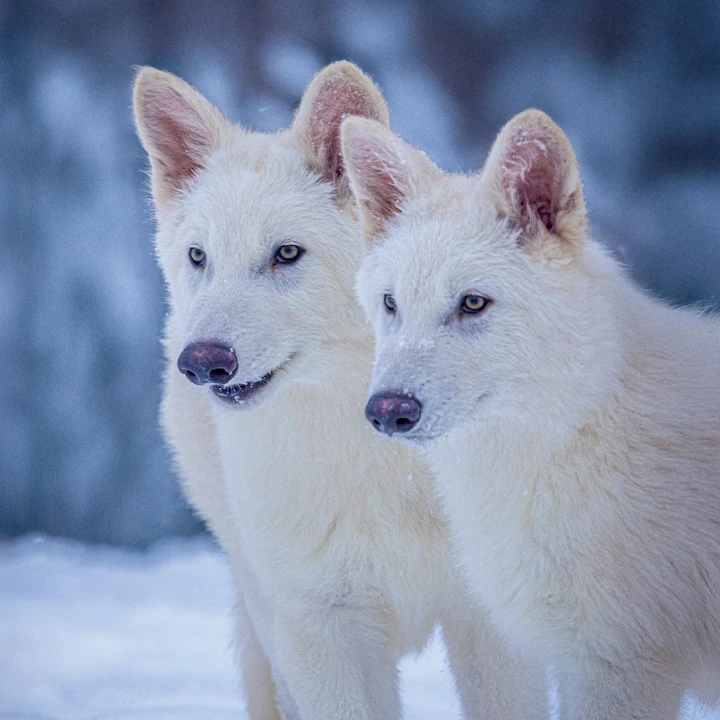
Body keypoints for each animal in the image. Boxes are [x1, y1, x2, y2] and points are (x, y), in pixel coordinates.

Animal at [132, 63, 546, 719]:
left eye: (286, 253)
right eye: (199, 256)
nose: (202, 363)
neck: (383, 463)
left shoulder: (491, 624)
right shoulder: (320, 630)